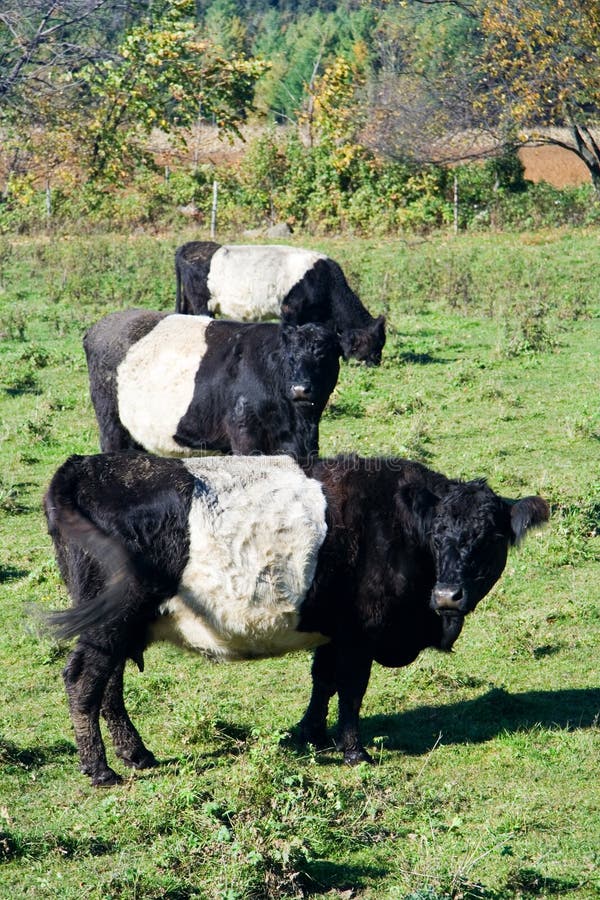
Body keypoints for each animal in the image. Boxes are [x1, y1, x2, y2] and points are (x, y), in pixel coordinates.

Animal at [44, 454, 548, 784]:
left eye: (490, 538)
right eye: (438, 535)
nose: (446, 596)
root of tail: (84, 467)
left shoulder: (334, 630)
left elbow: (323, 680)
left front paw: (310, 734)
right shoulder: (360, 633)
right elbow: (351, 689)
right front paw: (353, 751)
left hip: (117, 626)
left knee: (108, 686)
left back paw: (136, 754)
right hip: (109, 623)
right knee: (83, 681)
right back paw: (100, 769)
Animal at [176, 241, 386, 368]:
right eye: (377, 342)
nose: (377, 362)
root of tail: (188, 246)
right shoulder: (290, 310)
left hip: (189, 302)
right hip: (201, 303)